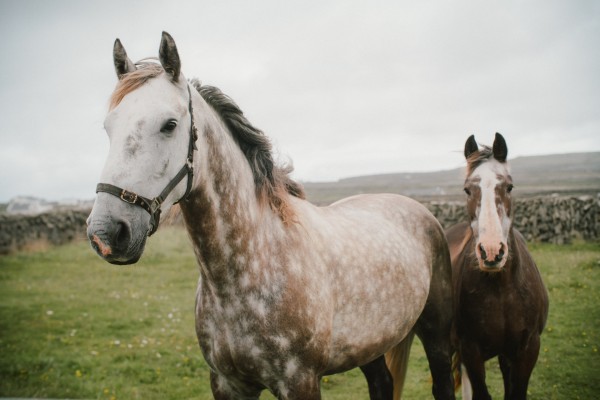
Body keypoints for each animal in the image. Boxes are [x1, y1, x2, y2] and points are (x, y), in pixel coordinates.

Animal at [86, 32, 454, 400]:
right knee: (382, 382)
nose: (106, 232)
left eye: (169, 125)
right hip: (370, 345)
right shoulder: (228, 383)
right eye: (107, 127)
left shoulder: (299, 382)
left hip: (437, 334)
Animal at [448, 133, 552, 398]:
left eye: (509, 186)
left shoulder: (528, 350)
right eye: (467, 189)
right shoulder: (471, 351)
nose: (492, 252)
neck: (502, 290)